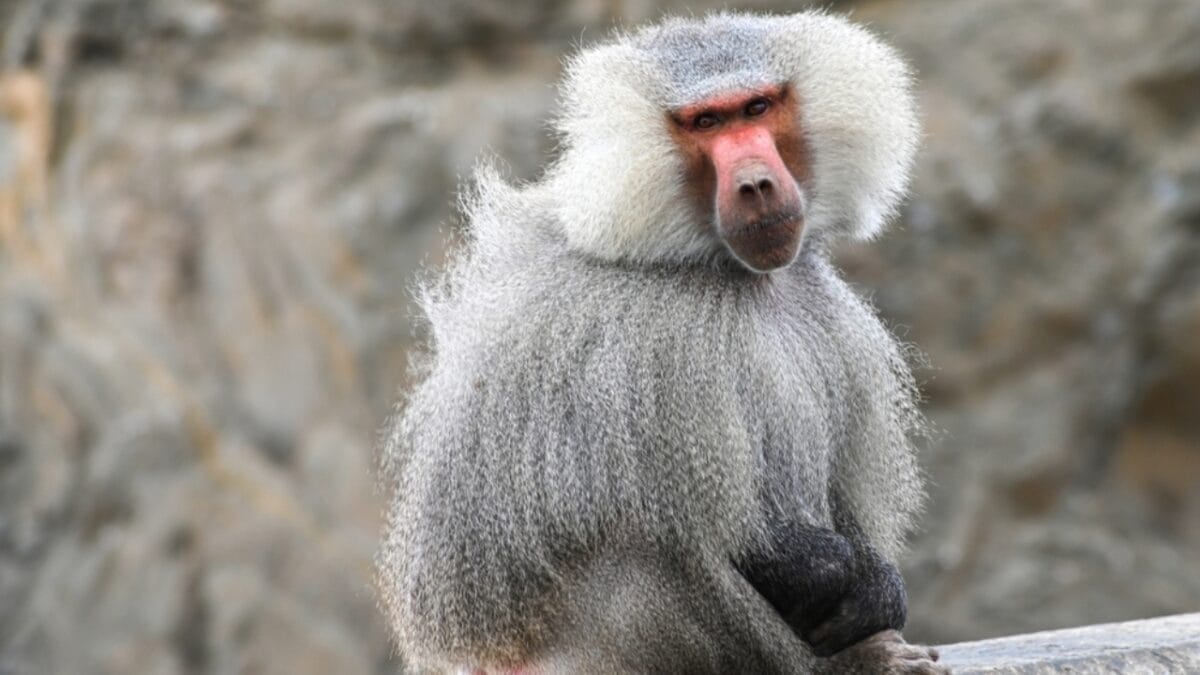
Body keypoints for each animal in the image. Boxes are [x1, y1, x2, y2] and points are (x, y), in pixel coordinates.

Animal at [378, 11, 947, 675]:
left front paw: (878, 590)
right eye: (705, 123)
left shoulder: (831, 327)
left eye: (756, 108)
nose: (756, 184)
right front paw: (836, 576)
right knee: (637, 560)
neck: (725, 271)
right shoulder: (644, 342)